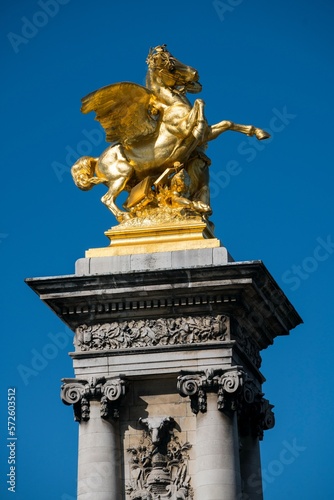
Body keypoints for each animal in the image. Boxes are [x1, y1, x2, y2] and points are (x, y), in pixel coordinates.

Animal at [72, 44, 268, 221]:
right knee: (106, 199)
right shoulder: (183, 128)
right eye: (171, 66)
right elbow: (199, 103)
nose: (196, 73)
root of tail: (97, 160)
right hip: (122, 175)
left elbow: (226, 123)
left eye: (174, 57)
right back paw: (125, 217)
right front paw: (199, 127)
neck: (172, 104)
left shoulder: (208, 132)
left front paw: (259, 132)